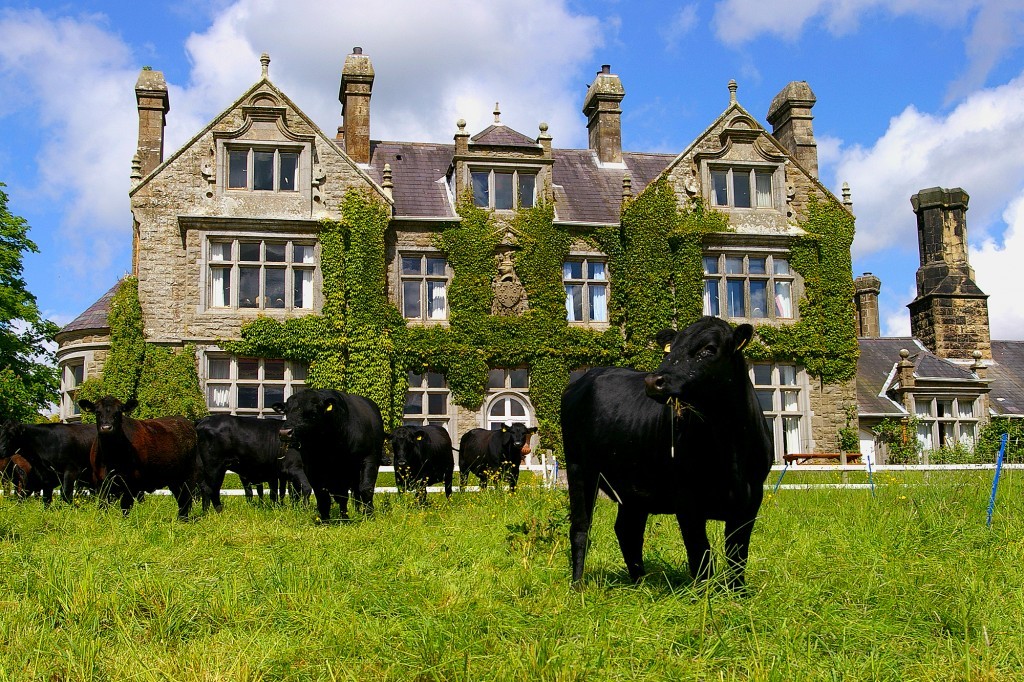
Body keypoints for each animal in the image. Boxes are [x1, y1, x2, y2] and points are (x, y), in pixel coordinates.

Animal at [272, 387, 385, 520]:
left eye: (312, 413)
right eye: (286, 411)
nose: (285, 433)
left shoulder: (369, 459)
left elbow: (366, 488)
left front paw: (369, 515)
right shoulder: (313, 468)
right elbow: (322, 495)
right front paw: (325, 518)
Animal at [565, 315, 770, 585]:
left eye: (708, 349)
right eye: (670, 349)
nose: (653, 381)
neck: (729, 448)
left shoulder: (751, 498)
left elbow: (737, 554)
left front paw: (738, 592)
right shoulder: (687, 499)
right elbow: (699, 552)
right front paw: (704, 592)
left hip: (632, 486)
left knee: (627, 529)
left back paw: (639, 583)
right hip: (579, 468)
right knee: (581, 527)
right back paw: (578, 585)